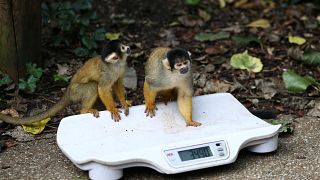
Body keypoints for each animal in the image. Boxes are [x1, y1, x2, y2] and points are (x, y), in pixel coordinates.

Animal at [0, 40, 130, 124]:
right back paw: (85, 111)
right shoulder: (107, 74)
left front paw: (124, 103)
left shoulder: (122, 67)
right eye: (123, 48)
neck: (116, 64)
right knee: (93, 86)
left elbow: (117, 83)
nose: (128, 47)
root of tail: (67, 92)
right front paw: (112, 109)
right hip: (76, 92)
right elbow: (102, 88)